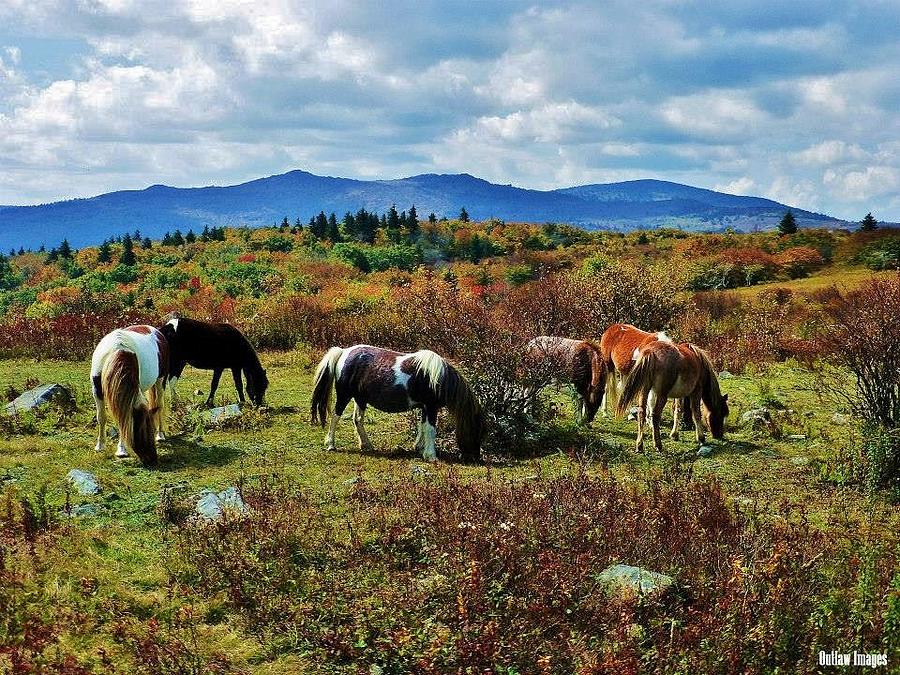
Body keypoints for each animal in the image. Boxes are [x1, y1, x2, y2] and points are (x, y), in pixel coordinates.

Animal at [90, 326, 170, 464]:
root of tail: (155, 330)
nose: (153, 459)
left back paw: (160, 435)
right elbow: (101, 418)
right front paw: (100, 445)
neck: (115, 353)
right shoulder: (97, 391)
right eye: (142, 431)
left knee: (160, 405)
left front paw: (121, 450)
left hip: (160, 380)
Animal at [312, 346, 488, 462]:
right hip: (344, 396)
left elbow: (422, 427)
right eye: (477, 432)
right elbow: (431, 430)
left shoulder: (425, 407)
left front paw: (420, 449)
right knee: (335, 417)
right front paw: (431, 456)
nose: (476, 458)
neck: (436, 378)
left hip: (360, 399)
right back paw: (330, 444)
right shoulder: (431, 407)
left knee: (358, 420)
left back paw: (366, 445)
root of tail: (343, 352)